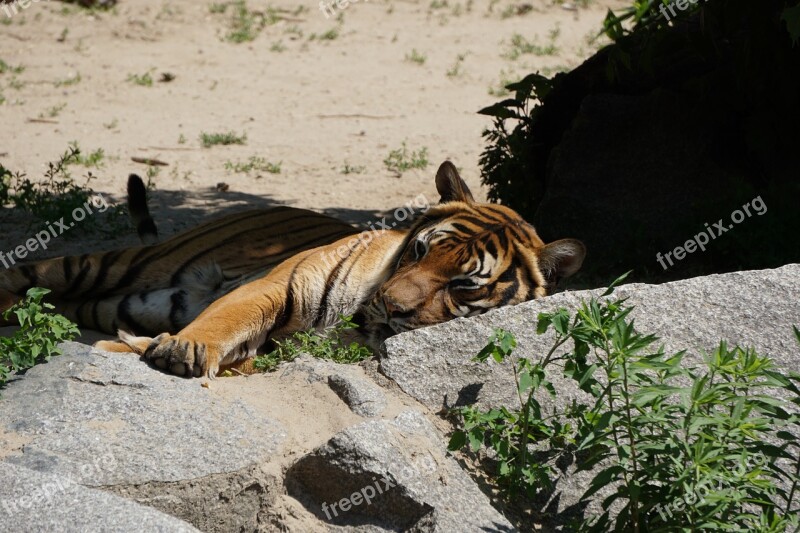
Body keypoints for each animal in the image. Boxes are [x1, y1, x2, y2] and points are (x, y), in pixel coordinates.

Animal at [0, 162, 588, 378]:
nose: (391, 308)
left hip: (120, 299)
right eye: (421, 251)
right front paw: (184, 349)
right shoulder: (273, 284)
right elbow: (225, 320)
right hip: (104, 266)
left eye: (464, 283)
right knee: (21, 274)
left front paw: (145, 348)